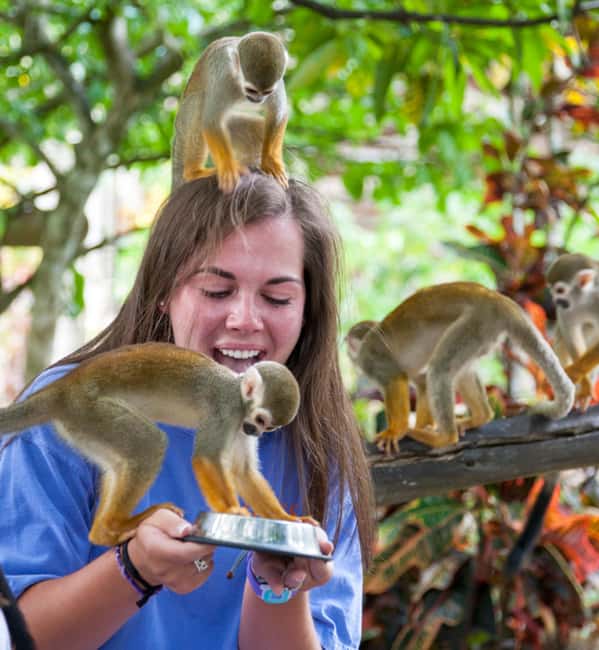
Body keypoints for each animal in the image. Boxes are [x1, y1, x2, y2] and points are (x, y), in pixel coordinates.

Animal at [0, 343, 305, 547]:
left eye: (269, 427)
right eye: (261, 419)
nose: (255, 431)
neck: (239, 397)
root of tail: (63, 389)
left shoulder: (239, 425)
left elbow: (243, 472)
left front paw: (286, 519)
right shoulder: (225, 409)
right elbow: (205, 457)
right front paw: (231, 510)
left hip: (83, 424)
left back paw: (101, 532)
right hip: (90, 410)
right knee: (149, 444)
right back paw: (118, 523)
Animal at [171, 31, 289, 193]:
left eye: (267, 92)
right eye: (251, 90)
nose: (258, 99)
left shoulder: (277, 83)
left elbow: (278, 114)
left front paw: (270, 162)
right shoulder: (223, 76)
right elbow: (211, 120)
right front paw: (228, 169)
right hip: (184, 124)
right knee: (199, 102)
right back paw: (194, 172)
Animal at [346, 282, 575, 454]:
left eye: (349, 344)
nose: (347, 351)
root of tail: (499, 299)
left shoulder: (371, 357)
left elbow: (396, 377)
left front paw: (396, 430)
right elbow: (422, 383)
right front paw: (423, 425)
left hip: (477, 322)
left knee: (440, 369)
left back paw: (444, 438)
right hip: (485, 333)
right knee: (458, 371)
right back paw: (480, 416)